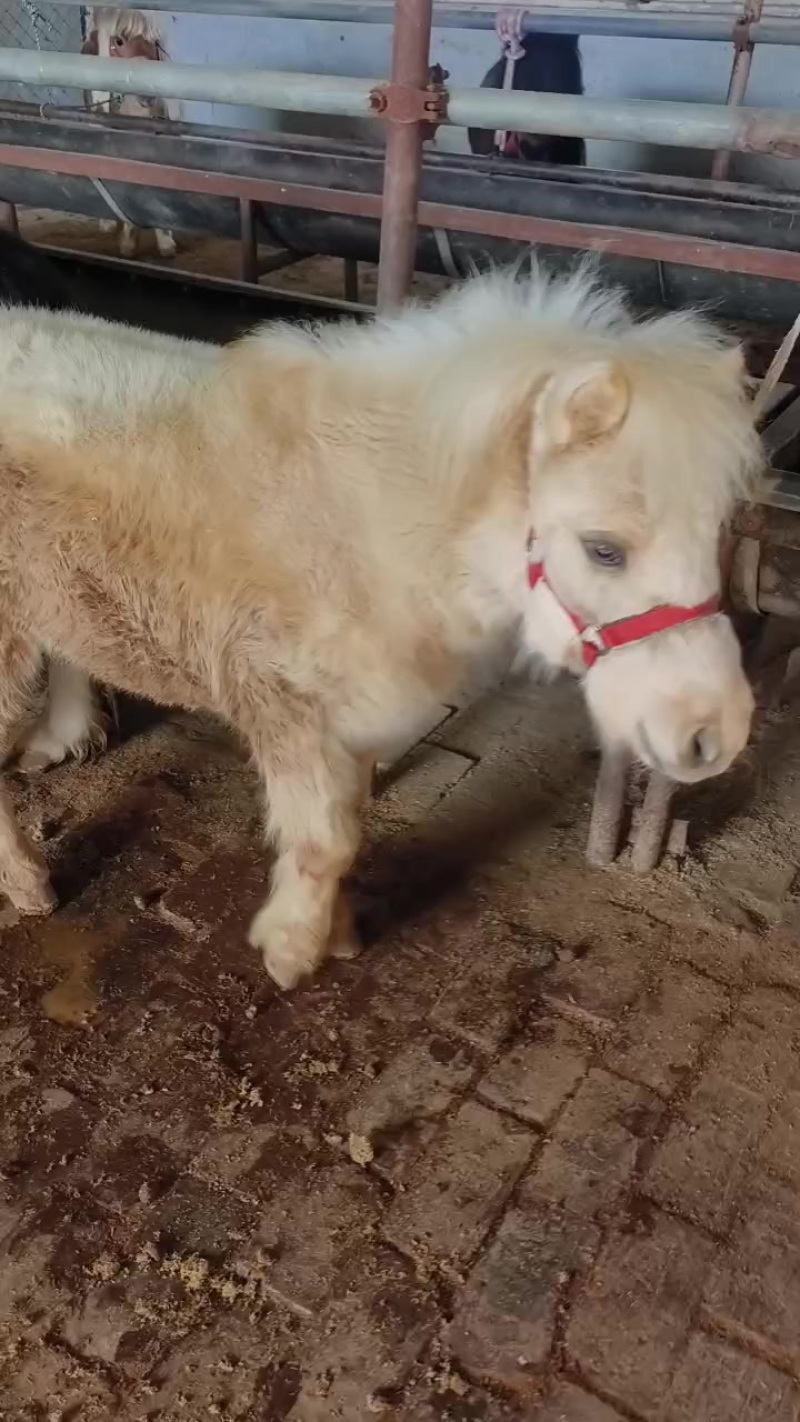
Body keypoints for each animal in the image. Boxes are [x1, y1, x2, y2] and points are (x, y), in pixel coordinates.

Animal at [0, 262, 760, 990]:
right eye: (605, 549)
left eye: (718, 530)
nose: (713, 735)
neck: (374, 522)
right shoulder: (284, 701)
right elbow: (323, 839)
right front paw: (290, 949)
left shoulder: (355, 716)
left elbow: (349, 827)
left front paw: (335, 936)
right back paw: (32, 884)